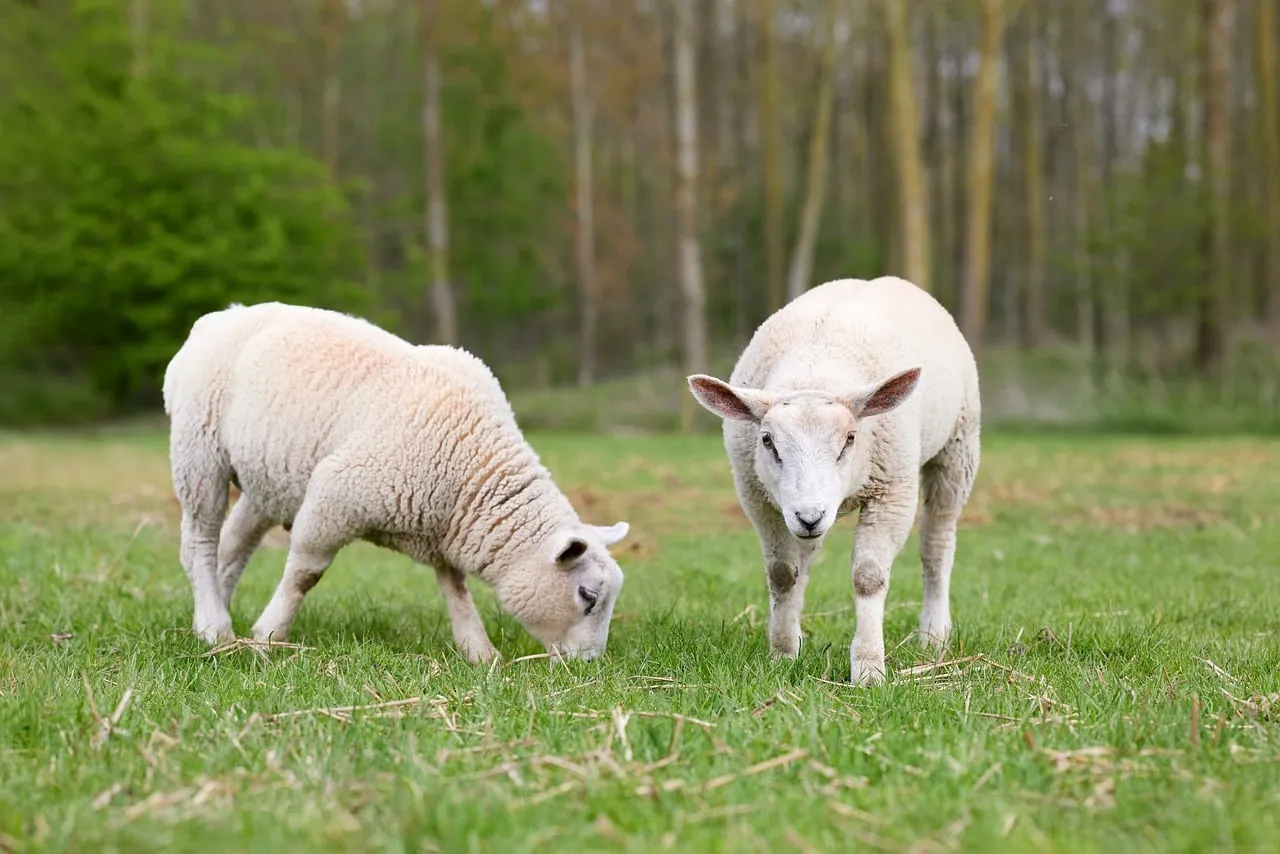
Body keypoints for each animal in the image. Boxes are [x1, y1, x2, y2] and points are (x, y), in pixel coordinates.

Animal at [161, 301, 631, 663]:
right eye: (588, 596)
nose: (590, 663)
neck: (472, 466)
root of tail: (219, 318)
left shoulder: (442, 525)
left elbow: (454, 586)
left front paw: (479, 652)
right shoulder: (334, 497)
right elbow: (303, 576)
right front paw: (269, 637)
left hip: (269, 479)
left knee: (233, 545)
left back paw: (211, 617)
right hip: (198, 449)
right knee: (200, 541)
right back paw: (215, 625)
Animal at [687, 276, 980, 685]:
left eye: (850, 438)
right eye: (767, 441)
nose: (809, 517)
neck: (814, 372)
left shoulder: (892, 490)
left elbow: (868, 577)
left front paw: (869, 668)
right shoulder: (758, 497)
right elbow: (782, 574)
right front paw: (782, 653)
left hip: (958, 446)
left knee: (936, 546)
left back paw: (934, 636)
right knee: (805, 559)